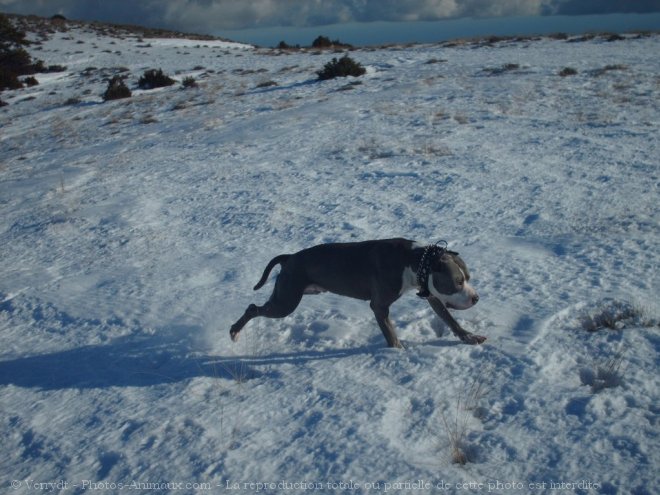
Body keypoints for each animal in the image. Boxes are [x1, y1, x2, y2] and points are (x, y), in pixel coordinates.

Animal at [229, 239, 488, 348]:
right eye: (457, 281)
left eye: (468, 278)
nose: (476, 298)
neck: (415, 261)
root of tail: (290, 257)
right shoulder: (379, 306)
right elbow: (391, 336)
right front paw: (399, 354)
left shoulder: (432, 295)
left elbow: (450, 320)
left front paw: (469, 337)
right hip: (286, 301)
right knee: (253, 308)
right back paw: (234, 332)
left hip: (295, 293)